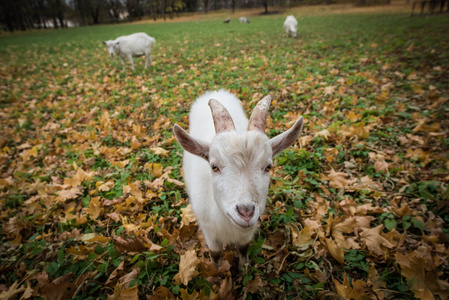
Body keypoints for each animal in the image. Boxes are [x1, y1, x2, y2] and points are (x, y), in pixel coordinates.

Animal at [173, 90, 302, 266]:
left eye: (268, 166)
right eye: (214, 167)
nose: (246, 212)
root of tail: (216, 91)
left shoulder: (247, 232)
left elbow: (243, 249)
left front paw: (244, 267)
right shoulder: (209, 231)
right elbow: (215, 253)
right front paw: (215, 269)